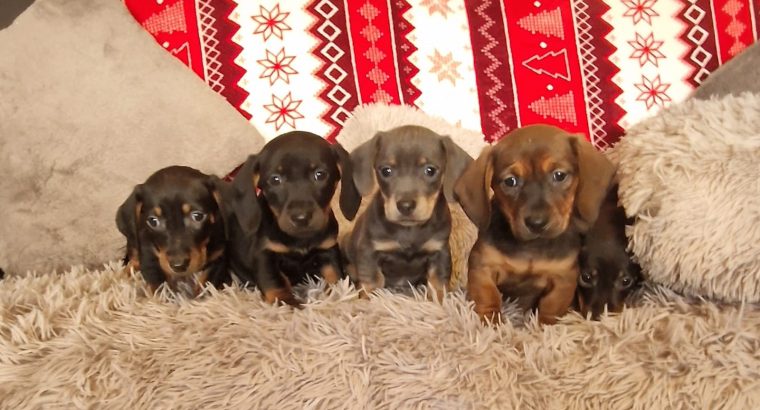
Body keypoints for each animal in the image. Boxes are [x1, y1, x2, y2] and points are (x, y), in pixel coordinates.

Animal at [114, 165, 230, 296]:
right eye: (153, 221)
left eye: (198, 216)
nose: (178, 266)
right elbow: (158, 287)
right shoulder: (150, 258)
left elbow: (207, 285)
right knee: (133, 259)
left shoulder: (218, 257)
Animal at [226, 130, 362, 306]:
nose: (301, 218)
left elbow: (335, 274)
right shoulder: (264, 254)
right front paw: (287, 304)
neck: (300, 239)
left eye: (320, 174)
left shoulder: (328, 249)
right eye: (275, 179)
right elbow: (275, 284)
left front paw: (337, 295)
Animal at [342, 125, 472, 298]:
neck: (409, 230)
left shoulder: (440, 251)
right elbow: (372, 281)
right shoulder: (369, 250)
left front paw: (439, 301)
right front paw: (367, 300)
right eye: (386, 170)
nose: (405, 205)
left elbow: (438, 283)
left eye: (430, 170)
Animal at [454, 125, 616, 324]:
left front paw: (546, 325)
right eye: (510, 181)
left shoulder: (563, 277)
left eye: (559, 175)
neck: (532, 247)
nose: (536, 223)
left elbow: (552, 305)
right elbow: (488, 295)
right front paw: (490, 321)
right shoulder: (483, 266)